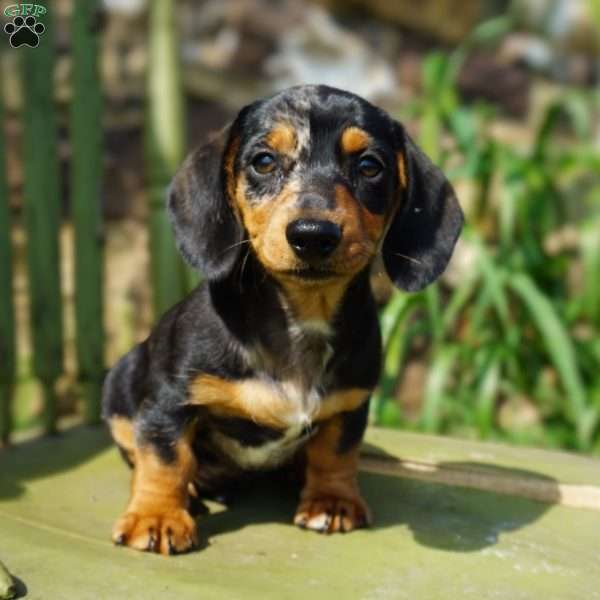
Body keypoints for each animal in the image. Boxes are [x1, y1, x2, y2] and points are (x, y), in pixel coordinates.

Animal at [102, 84, 464, 552]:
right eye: (263, 161)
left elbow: (336, 453)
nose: (313, 235)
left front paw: (331, 500)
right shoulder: (169, 401)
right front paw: (158, 516)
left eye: (370, 166)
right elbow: (167, 459)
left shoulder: (350, 405)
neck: (302, 315)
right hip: (122, 379)